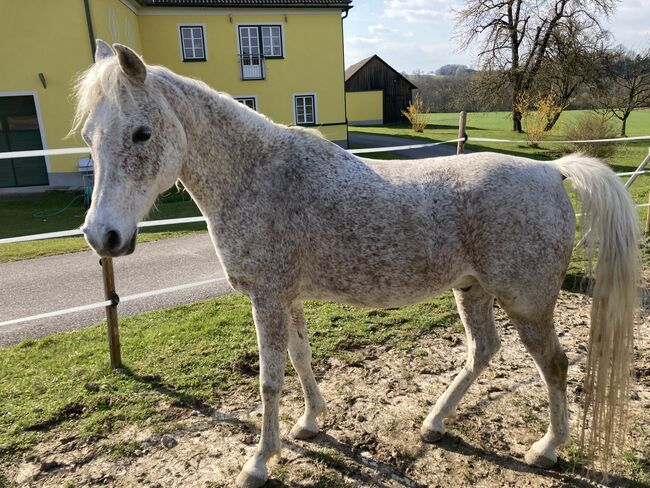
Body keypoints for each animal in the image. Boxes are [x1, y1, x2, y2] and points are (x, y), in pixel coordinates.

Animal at [73, 40, 636, 486]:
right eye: (89, 138)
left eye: (142, 133)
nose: (103, 235)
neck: (259, 177)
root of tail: (551, 172)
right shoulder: (287, 298)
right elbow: (301, 359)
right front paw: (310, 423)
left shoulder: (267, 298)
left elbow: (270, 381)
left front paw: (258, 462)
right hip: (472, 289)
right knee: (483, 351)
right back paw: (435, 424)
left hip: (528, 303)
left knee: (554, 365)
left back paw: (547, 449)